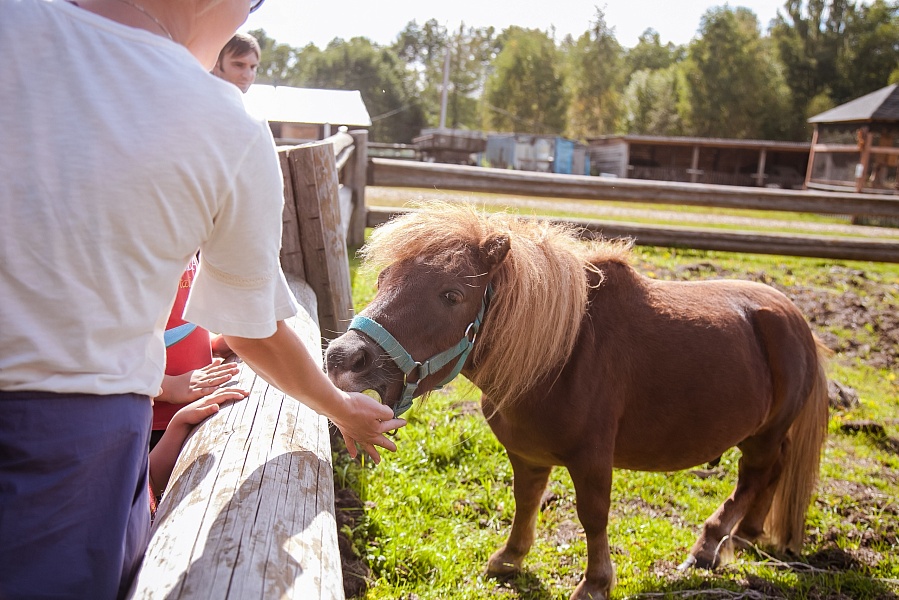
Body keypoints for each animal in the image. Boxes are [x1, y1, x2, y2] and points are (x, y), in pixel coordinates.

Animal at [324, 203, 828, 600]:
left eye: (452, 294)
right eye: (384, 277)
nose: (344, 357)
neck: (561, 356)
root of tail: (795, 319)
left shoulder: (591, 458)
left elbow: (593, 515)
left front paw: (595, 583)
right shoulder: (527, 454)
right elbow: (526, 500)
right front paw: (510, 559)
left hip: (763, 435)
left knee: (754, 476)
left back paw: (710, 546)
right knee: (771, 473)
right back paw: (746, 537)